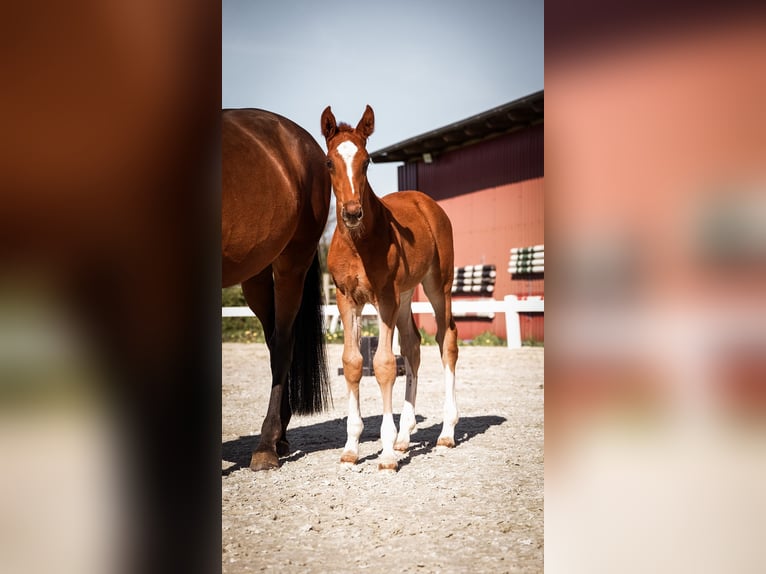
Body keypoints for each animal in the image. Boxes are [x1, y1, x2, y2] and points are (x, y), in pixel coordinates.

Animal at [222, 108, 333, 471]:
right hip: (256, 273)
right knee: (274, 343)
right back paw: (279, 435)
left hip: (291, 263)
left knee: (283, 343)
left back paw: (266, 445)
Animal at [321, 105, 460, 471]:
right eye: (329, 162)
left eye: (367, 161)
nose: (352, 213)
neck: (359, 243)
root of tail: (426, 201)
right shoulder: (347, 299)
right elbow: (353, 362)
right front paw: (352, 448)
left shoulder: (383, 298)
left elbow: (383, 365)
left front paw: (384, 453)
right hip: (405, 295)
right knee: (413, 345)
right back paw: (404, 437)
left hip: (437, 286)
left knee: (447, 339)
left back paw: (447, 431)